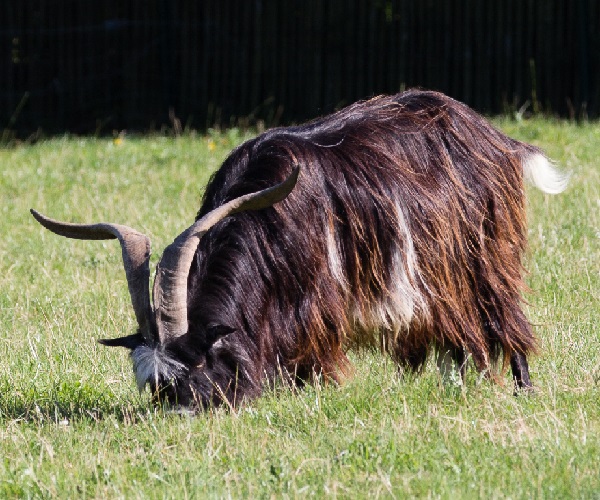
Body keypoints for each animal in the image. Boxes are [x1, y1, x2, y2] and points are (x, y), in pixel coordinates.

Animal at [32, 91, 568, 410]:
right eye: (158, 386)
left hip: (486, 252)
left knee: (502, 312)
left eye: (201, 365)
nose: (184, 413)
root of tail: (493, 136)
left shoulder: (314, 297)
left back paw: (523, 387)